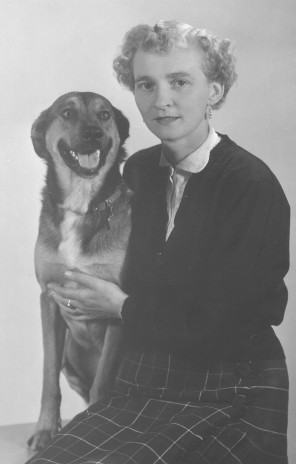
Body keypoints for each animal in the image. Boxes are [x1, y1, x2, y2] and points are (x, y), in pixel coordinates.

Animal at [27, 92, 132, 452]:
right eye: (67, 113)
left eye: (104, 115)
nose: (93, 133)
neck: (82, 202)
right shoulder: (48, 298)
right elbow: (47, 378)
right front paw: (47, 429)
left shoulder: (116, 307)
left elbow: (102, 385)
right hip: (70, 355)